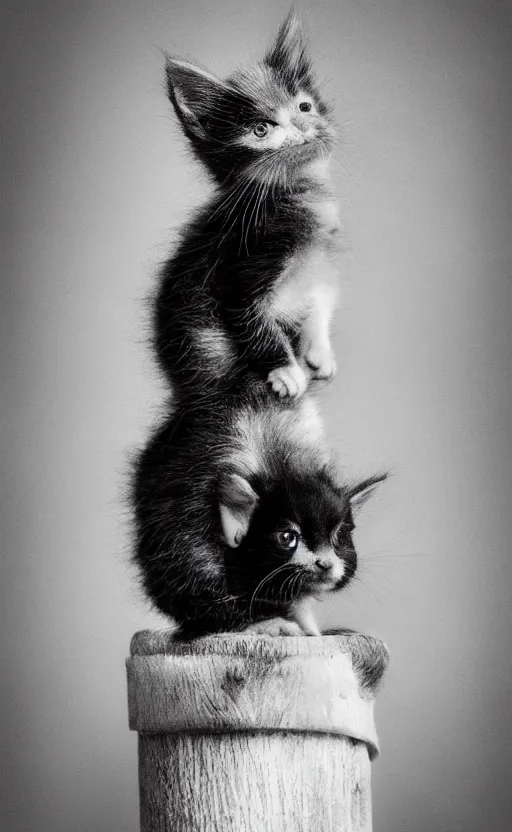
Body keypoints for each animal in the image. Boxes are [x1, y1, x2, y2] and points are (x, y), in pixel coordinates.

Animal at [132, 386, 384, 640]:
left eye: (339, 536)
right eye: (287, 537)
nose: (326, 564)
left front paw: (311, 628)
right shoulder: (182, 536)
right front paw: (266, 623)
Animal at [155, 11, 344, 404]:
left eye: (304, 106)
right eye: (261, 130)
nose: (303, 125)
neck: (295, 195)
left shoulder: (322, 257)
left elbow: (320, 295)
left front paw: (319, 349)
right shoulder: (237, 270)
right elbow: (253, 321)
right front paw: (285, 371)